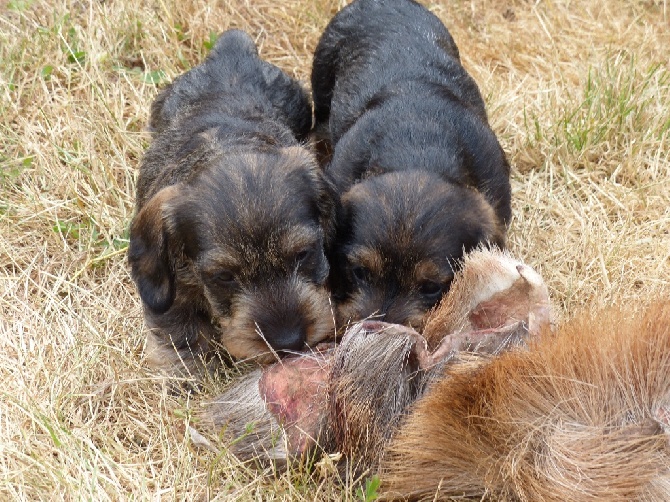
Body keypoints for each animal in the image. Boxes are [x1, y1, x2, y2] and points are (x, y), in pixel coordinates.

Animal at [129, 29, 336, 380]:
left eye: (303, 254)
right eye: (224, 276)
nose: (289, 341)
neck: (228, 146)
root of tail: (232, 49)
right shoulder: (172, 291)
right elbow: (180, 332)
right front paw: (191, 376)